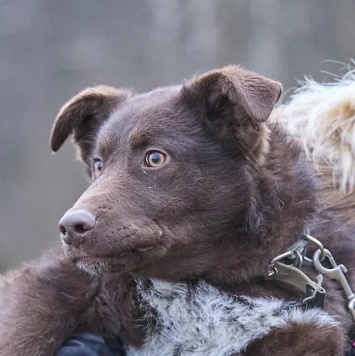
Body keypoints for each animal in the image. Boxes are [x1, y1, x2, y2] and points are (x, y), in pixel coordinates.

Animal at [0, 65, 355, 354]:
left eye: (155, 158)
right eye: (98, 165)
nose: (70, 228)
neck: (193, 284)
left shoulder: (307, 329)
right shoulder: (54, 286)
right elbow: (24, 328)